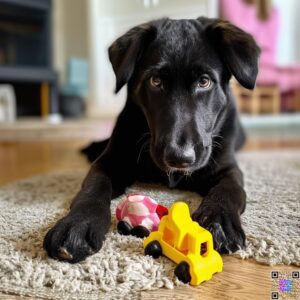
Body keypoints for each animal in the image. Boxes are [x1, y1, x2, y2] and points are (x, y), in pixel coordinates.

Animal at [43, 16, 258, 262]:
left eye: (204, 82)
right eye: (155, 81)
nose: (179, 158)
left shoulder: (227, 168)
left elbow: (229, 190)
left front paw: (218, 221)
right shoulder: (108, 162)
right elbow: (93, 188)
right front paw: (77, 224)